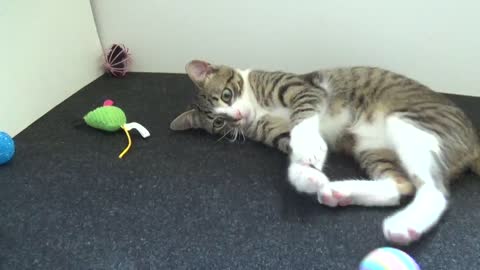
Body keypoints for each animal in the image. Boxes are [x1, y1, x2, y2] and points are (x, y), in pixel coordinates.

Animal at [171, 60, 478, 246]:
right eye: (218, 122)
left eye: (226, 95)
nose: (236, 116)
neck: (256, 107)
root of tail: (473, 138)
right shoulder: (277, 133)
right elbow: (293, 154)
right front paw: (308, 177)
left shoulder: (301, 89)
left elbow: (303, 116)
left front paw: (309, 147)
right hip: (371, 148)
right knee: (400, 185)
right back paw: (339, 192)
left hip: (412, 124)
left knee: (434, 191)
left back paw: (405, 224)